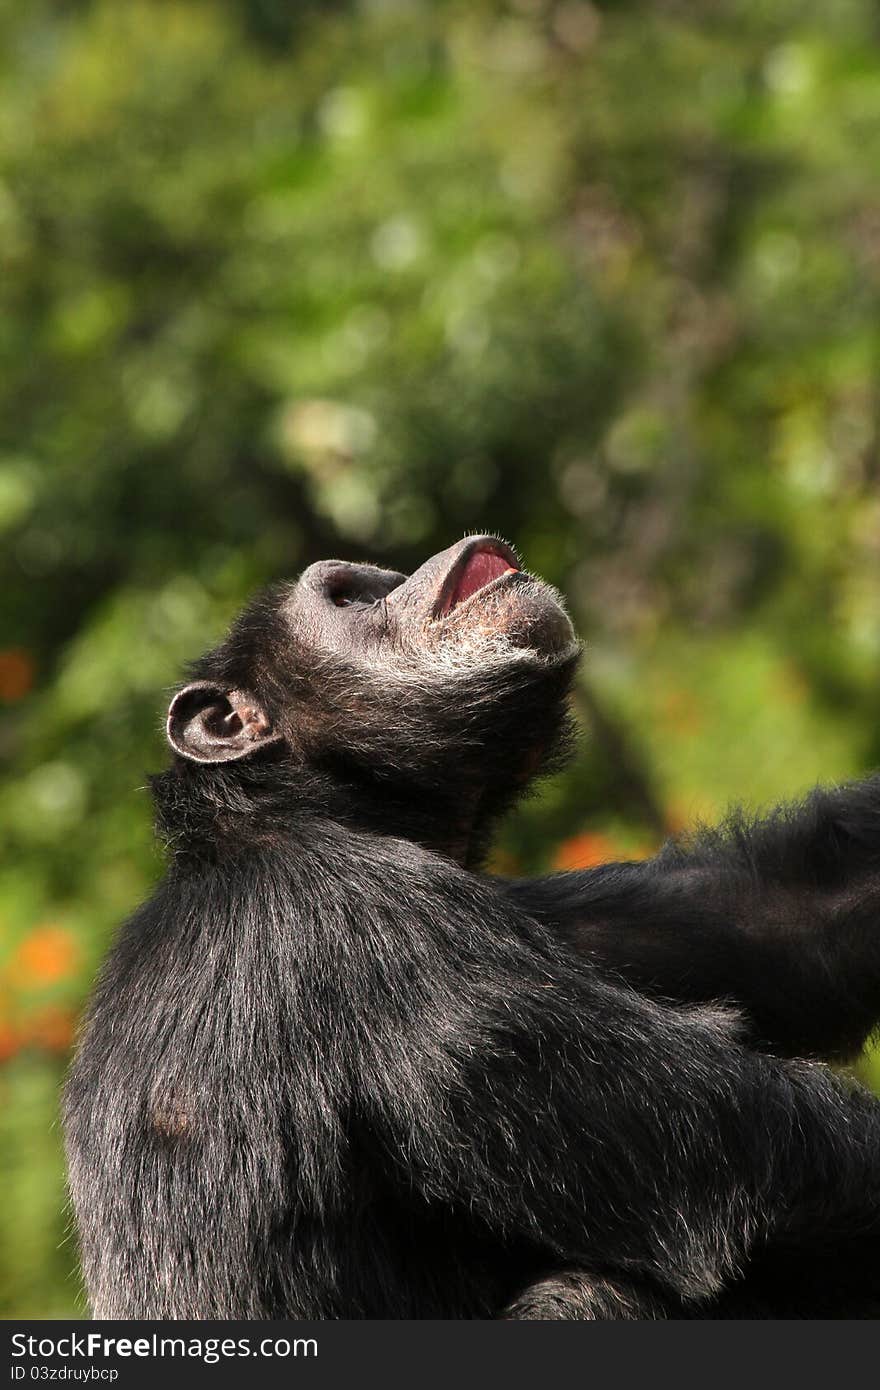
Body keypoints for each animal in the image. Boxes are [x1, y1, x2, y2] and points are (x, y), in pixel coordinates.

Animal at [61, 536, 878, 1317]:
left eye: (378, 579)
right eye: (348, 595)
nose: (398, 577)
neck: (300, 809)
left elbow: (793, 913)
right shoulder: (371, 928)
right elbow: (755, 1154)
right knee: (591, 1293)